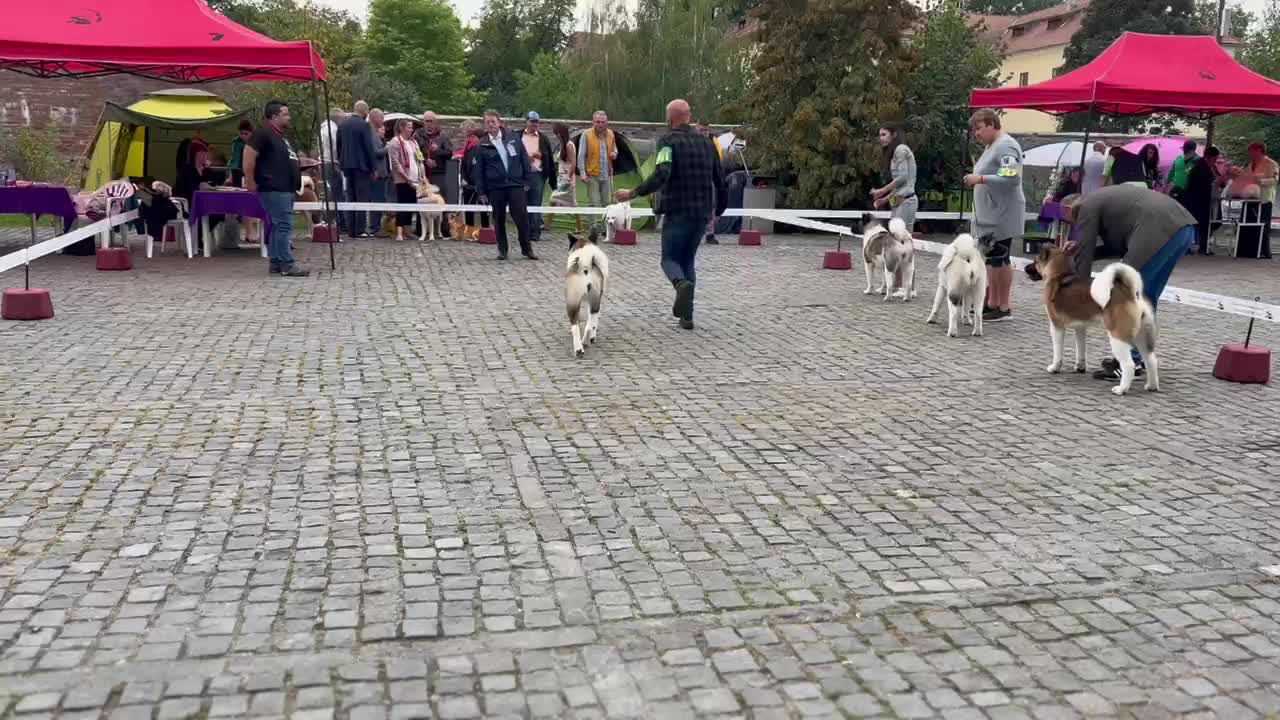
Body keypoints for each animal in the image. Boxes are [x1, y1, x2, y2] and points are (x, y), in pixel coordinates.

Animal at [1029, 244, 1162, 392]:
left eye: (1035, 261)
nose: (1025, 268)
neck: (1058, 275)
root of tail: (1130, 295)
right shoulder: (1080, 328)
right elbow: (1080, 349)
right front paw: (1080, 367)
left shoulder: (1056, 326)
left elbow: (1058, 352)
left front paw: (1054, 368)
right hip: (1142, 337)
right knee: (1151, 360)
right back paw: (1151, 386)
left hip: (1118, 337)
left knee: (1129, 365)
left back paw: (1121, 389)